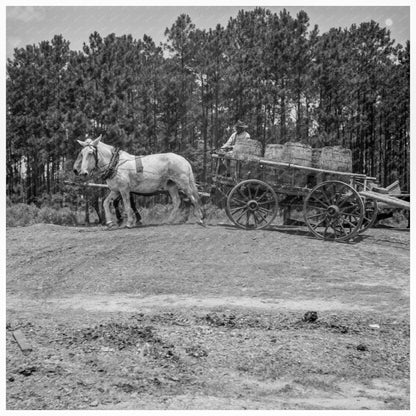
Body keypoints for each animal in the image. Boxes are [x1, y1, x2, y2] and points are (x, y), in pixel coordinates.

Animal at [74, 136, 206, 228]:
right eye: (81, 153)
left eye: (90, 153)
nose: (82, 173)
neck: (115, 164)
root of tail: (184, 160)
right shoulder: (116, 190)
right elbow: (106, 203)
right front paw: (110, 222)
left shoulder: (124, 189)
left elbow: (127, 205)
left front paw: (129, 223)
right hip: (171, 185)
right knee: (177, 201)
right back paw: (169, 220)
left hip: (183, 183)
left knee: (193, 199)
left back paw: (199, 219)